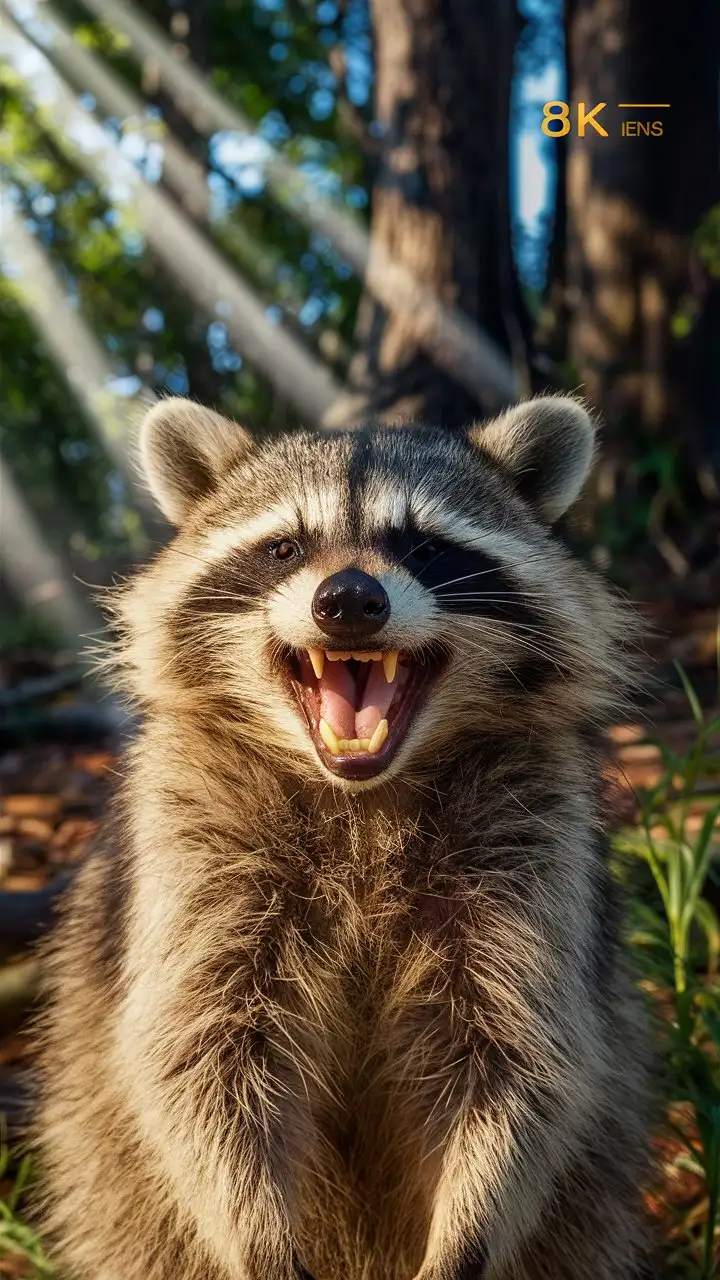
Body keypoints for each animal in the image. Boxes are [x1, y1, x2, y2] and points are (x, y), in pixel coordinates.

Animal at [35, 394, 650, 1274]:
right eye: (284, 547)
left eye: (424, 546)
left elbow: (518, 1061)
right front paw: (257, 1235)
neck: (363, 799)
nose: (349, 600)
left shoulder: (530, 837)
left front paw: (465, 1236)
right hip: (97, 1166)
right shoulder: (192, 838)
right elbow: (197, 1056)